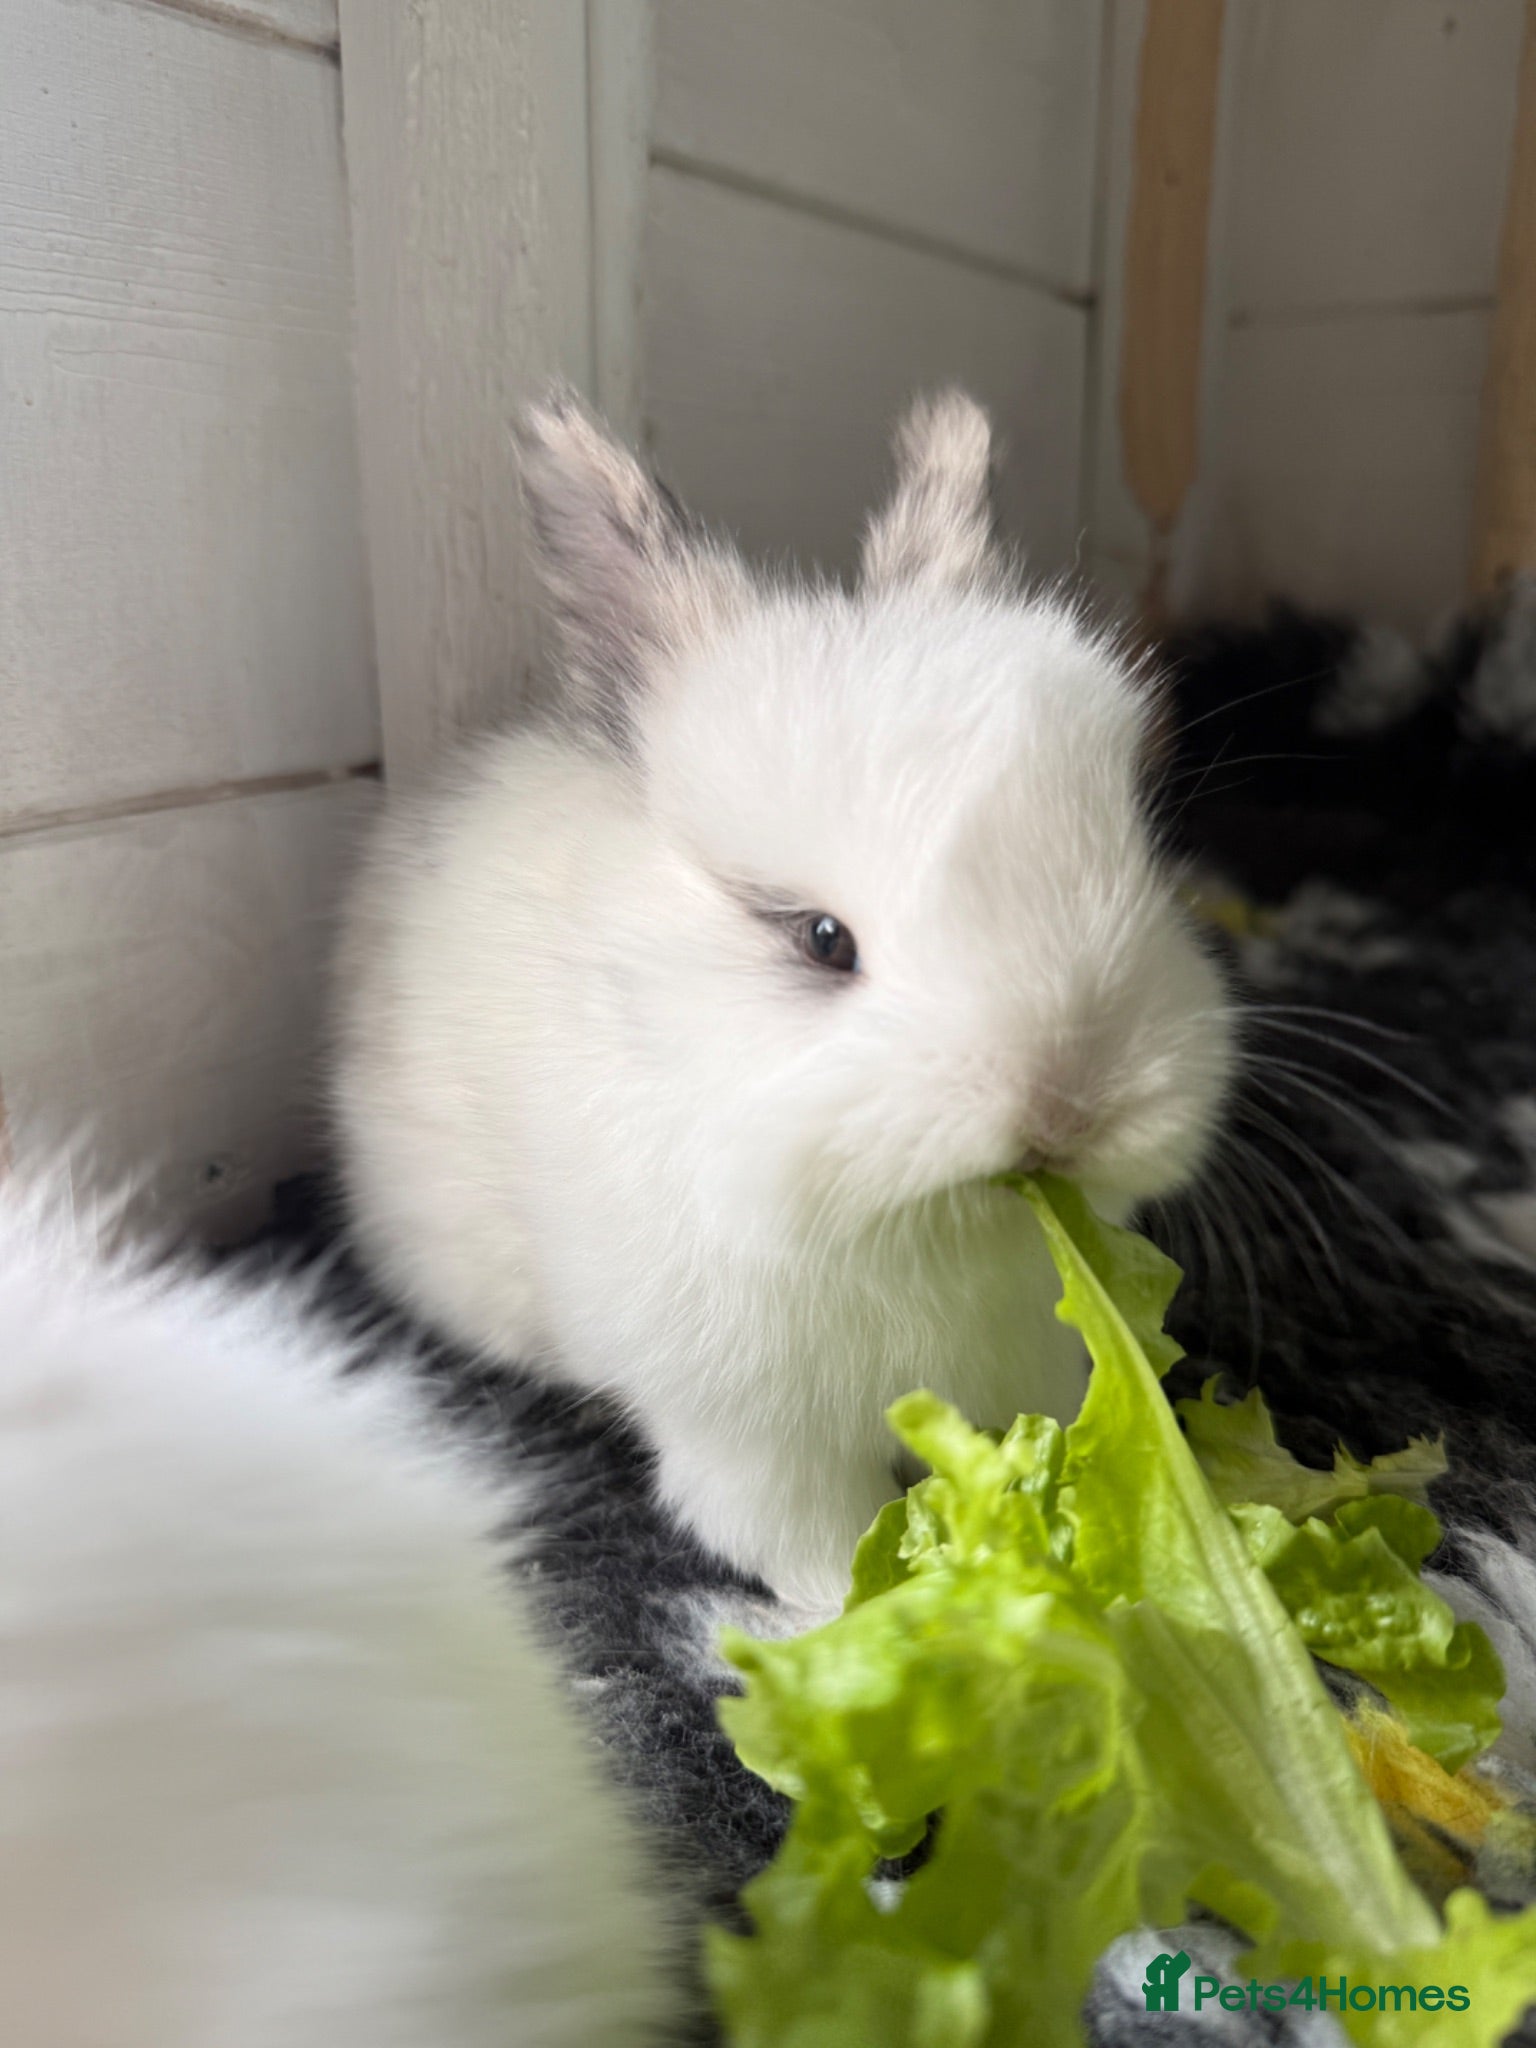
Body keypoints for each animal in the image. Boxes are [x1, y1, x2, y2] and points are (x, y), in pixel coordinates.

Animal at [331, 388, 1233, 1613]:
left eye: (1136, 851)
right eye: (821, 939)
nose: (1069, 1106)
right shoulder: (754, 1438)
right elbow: (808, 1538)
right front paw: (876, 1614)